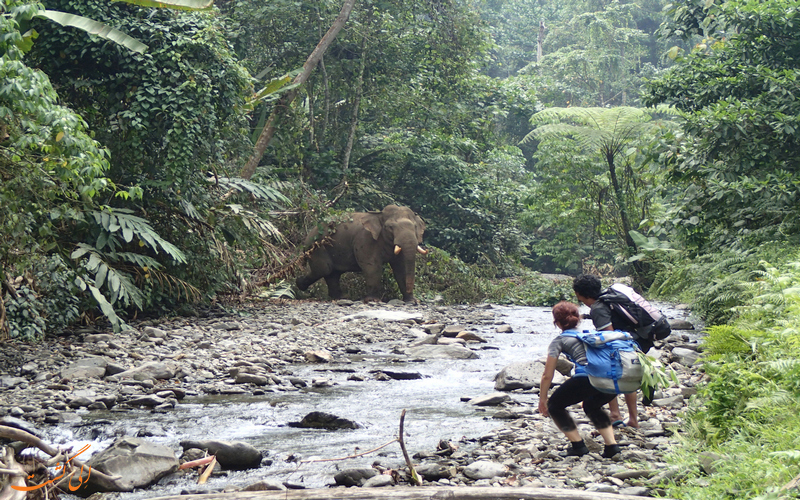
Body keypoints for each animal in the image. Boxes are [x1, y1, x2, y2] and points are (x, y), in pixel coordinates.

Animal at [296, 203, 428, 300]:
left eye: (415, 227)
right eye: (390, 227)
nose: (411, 292)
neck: (378, 215)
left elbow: (401, 267)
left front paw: (411, 301)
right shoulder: (365, 239)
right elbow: (372, 266)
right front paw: (372, 300)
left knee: (333, 273)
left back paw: (340, 297)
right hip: (316, 247)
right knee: (325, 269)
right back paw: (299, 284)